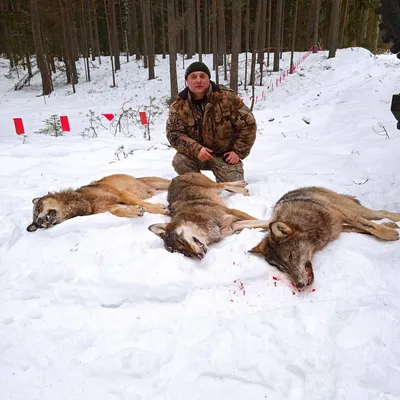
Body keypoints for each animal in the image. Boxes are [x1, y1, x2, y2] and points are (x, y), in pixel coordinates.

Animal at [26, 174, 170, 233]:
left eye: (38, 209)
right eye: (38, 225)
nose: (39, 221)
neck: (85, 200)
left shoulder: (121, 194)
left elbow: (139, 203)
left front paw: (159, 209)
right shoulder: (110, 205)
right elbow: (116, 211)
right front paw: (135, 211)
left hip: (160, 183)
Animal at [250, 186, 400, 290]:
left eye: (291, 256)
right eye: (283, 268)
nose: (299, 285)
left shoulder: (344, 215)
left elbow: (369, 226)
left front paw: (389, 234)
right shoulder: (338, 227)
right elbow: (364, 229)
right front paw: (389, 229)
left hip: (352, 209)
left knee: (379, 213)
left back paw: (394, 219)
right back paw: (390, 224)